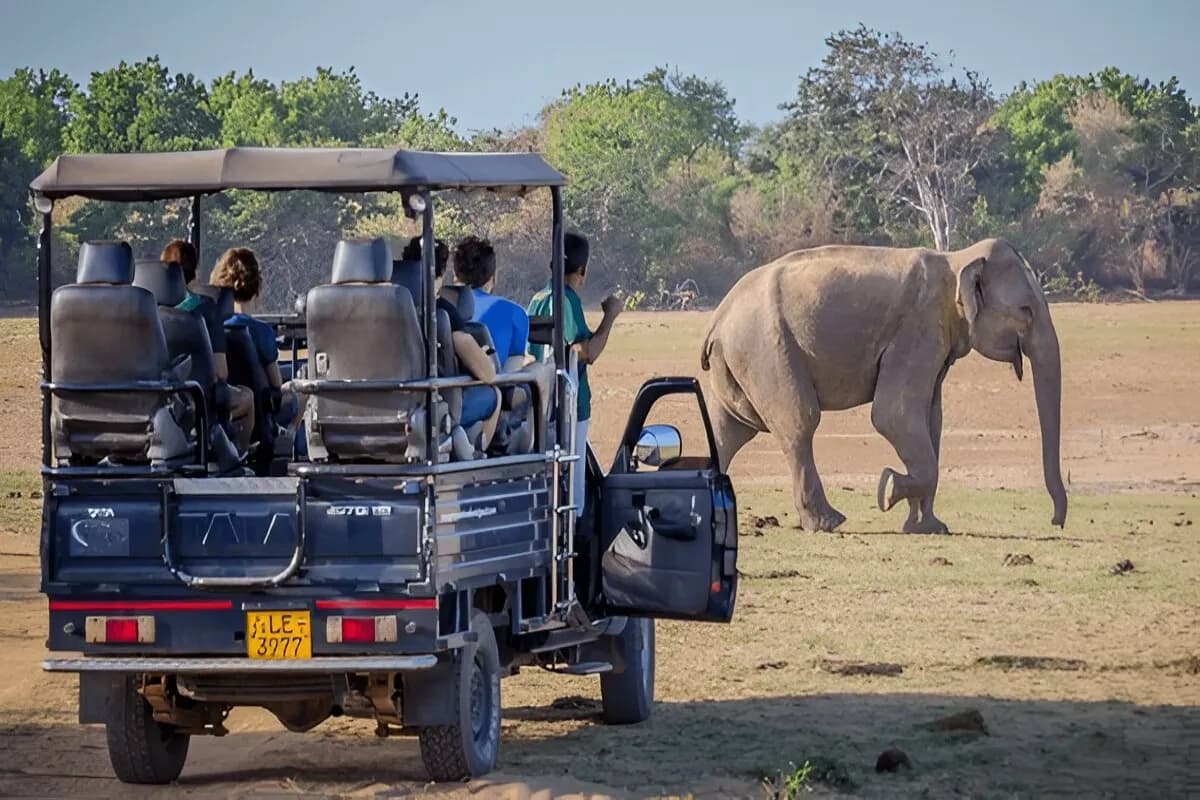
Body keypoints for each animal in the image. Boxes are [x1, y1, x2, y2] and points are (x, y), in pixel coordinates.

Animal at [700, 238, 1067, 533]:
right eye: (1026, 311)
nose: (1055, 522)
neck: (957, 259)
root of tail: (718, 318)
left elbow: (930, 421)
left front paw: (928, 527)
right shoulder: (918, 331)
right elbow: (894, 416)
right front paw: (887, 489)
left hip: (742, 361)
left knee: (729, 432)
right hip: (767, 351)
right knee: (798, 424)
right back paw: (828, 523)